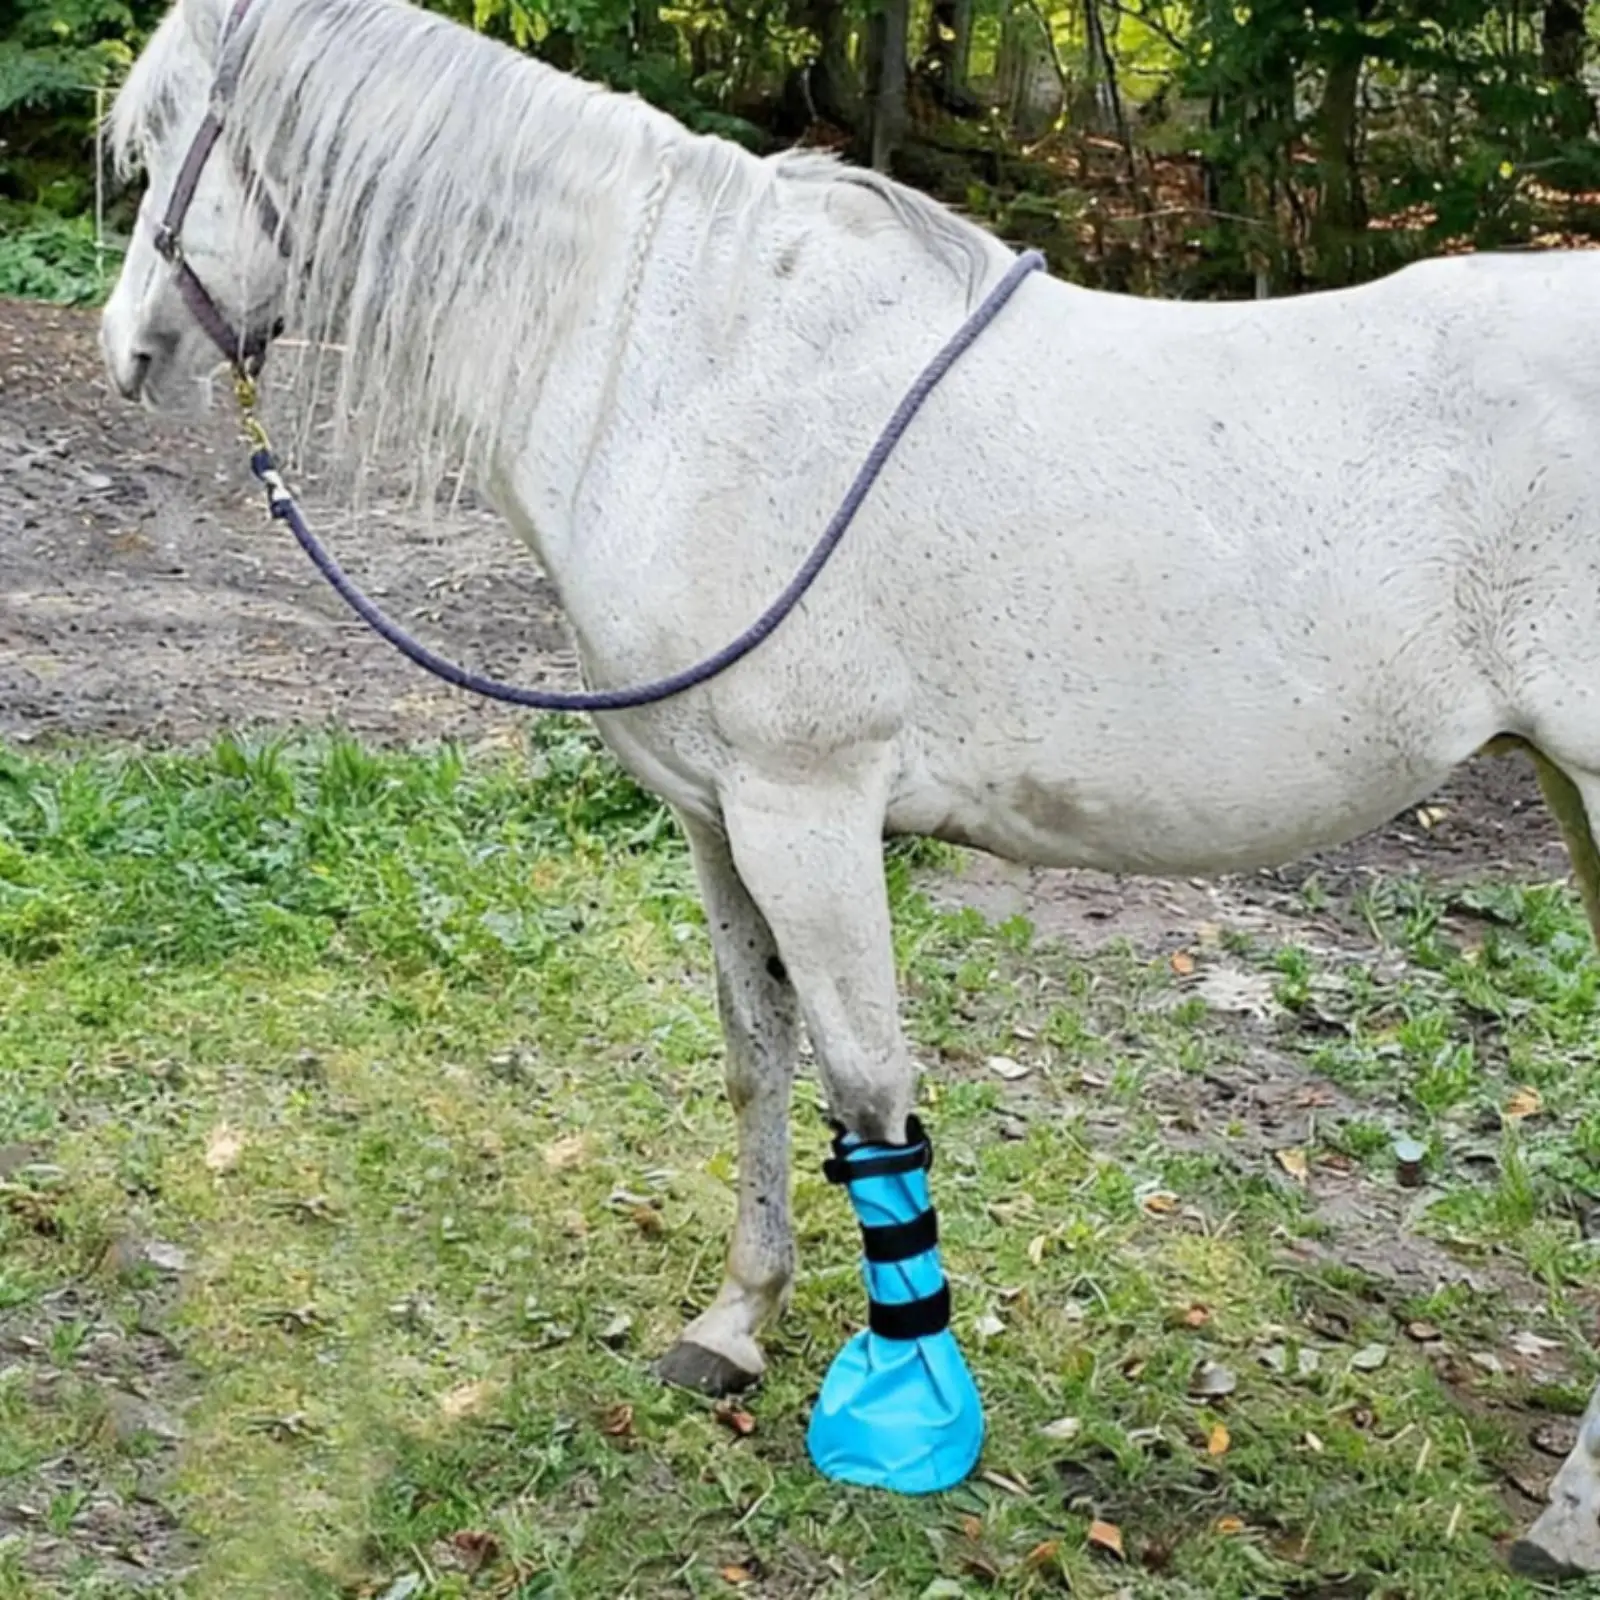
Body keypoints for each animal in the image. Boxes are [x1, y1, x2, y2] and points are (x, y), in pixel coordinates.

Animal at [101, 0, 1600, 1571]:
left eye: (159, 144)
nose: (124, 351)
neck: (681, 365)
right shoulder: (716, 817)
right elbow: (759, 1057)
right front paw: (734, 1324)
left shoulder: (804, 810)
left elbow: (870, 1084)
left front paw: (907, 1402)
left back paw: (1567, 1517)